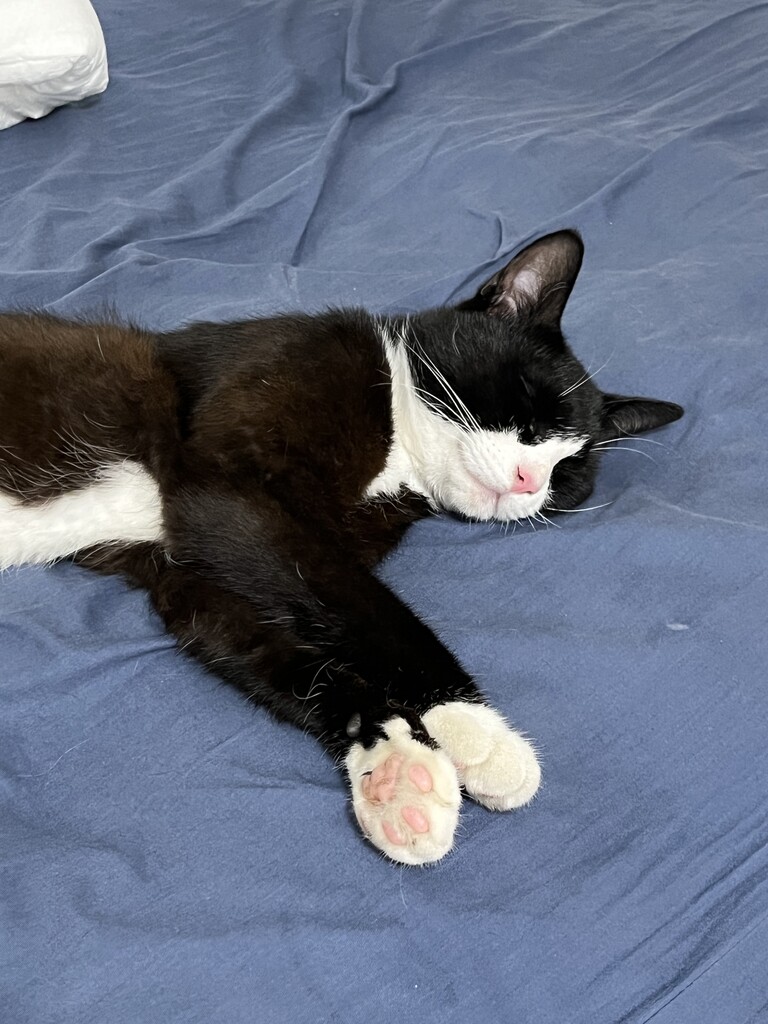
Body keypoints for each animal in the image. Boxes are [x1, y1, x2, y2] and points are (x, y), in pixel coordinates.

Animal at [0, 230, 683, 865]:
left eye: (570, 473)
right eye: (531, 410)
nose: (529, 482)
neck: (400, 460)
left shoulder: (195, 571)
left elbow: (268, 646)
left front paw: (394, 771)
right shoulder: (232, 480)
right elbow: (373, 615)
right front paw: (477, 729)